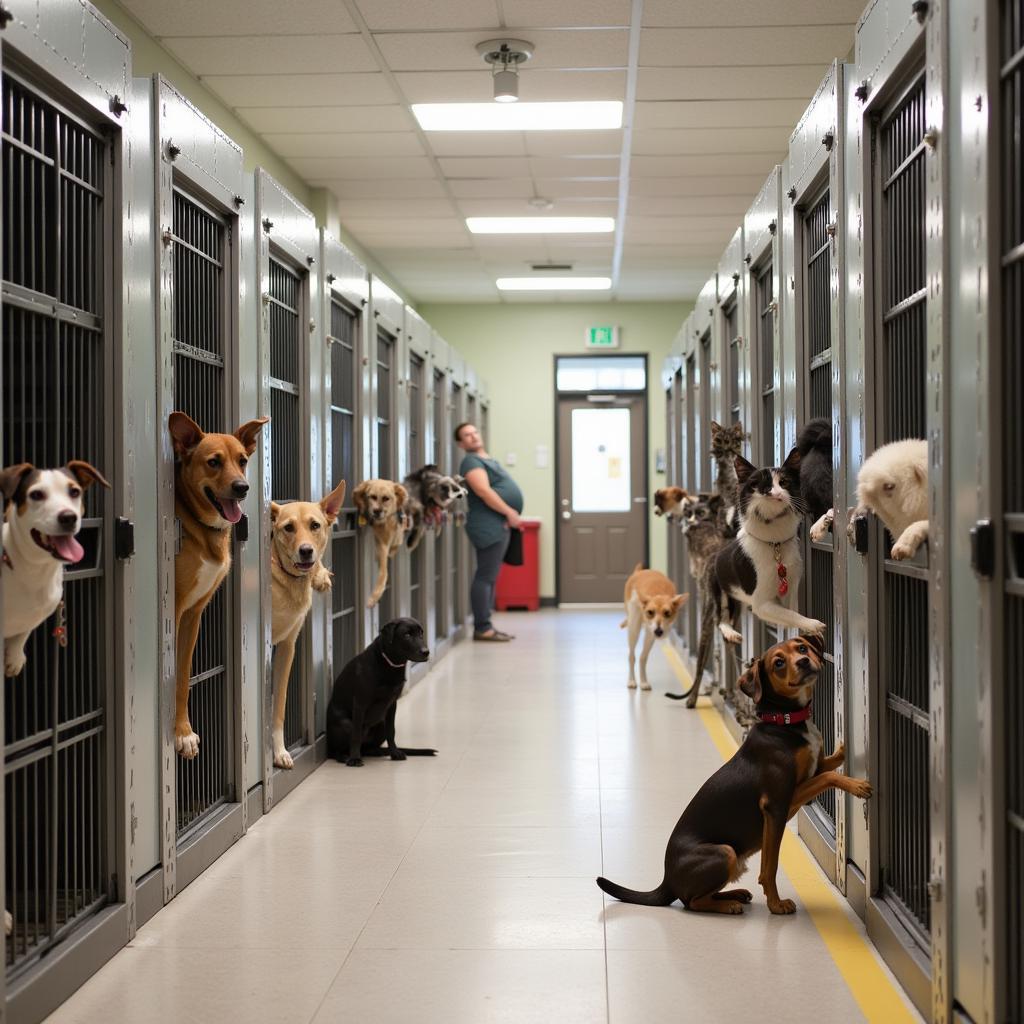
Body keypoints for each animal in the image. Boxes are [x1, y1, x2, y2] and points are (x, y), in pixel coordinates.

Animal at [167, 409, 266, 761]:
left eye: (242, 460)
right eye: (213, 462)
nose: (243, 487)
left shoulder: (192, 614)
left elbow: (182, 677)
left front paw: (182, 731)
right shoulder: (174, 610)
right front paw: (180, 733)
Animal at [272, 479, 348, 770]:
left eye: (315, 525)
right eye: (288, 527)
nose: (306, 551)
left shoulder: (286, 647)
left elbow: (278, 706)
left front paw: (279, 750)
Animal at [325, 614, 434, 770]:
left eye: (421, 633)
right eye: (407, 635)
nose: (426, 652)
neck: (389, 664)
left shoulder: (392, 704)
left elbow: (391, 731)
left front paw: (394, 753)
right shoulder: (360, 703)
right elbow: (356, 735)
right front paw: (355, 759)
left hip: (380, 721)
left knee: (367, 747)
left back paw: (376, 751)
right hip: (345, 724)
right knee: (336, 750)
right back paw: (346, 756)